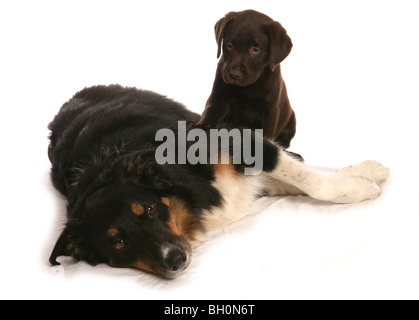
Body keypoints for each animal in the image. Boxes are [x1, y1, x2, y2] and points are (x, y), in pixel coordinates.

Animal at [49, 84, 390, 278]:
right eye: (119, 243)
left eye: (149, 209)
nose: (176, 260)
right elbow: (296, 179)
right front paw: (358, 179)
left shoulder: (235, 142)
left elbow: (308, 179)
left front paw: (361, 181)